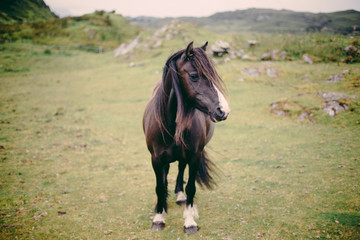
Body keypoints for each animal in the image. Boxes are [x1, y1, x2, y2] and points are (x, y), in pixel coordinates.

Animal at [142, 41, 229, 234]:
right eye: (195, 75)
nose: (224, 110)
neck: (170, 124)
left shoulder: (195, 156)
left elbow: (191, 187)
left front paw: (189, 221)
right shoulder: (155, 158)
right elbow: (159, 186)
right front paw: (159, 217)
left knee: (181, 168)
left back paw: (180, 197)